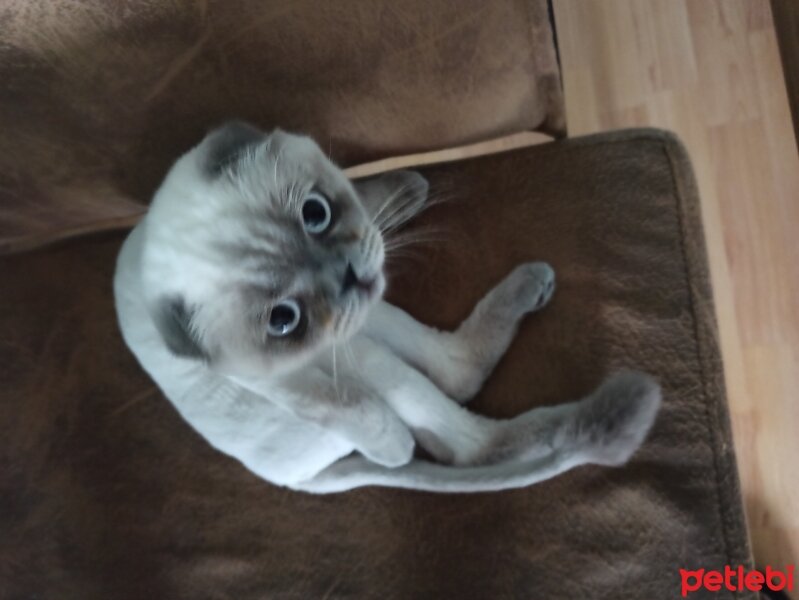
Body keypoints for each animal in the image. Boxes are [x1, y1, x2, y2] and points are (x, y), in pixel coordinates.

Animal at [112, 122, 664, 492]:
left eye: (316, 213)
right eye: (284, 320)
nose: (348, 278)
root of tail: (299, 482)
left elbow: (366, 195)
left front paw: (402, 192)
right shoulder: (277, 376)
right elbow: (351, 410)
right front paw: (396, 448)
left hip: (368, 322)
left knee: (453, 375)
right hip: (356, 349)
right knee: (463, 427)